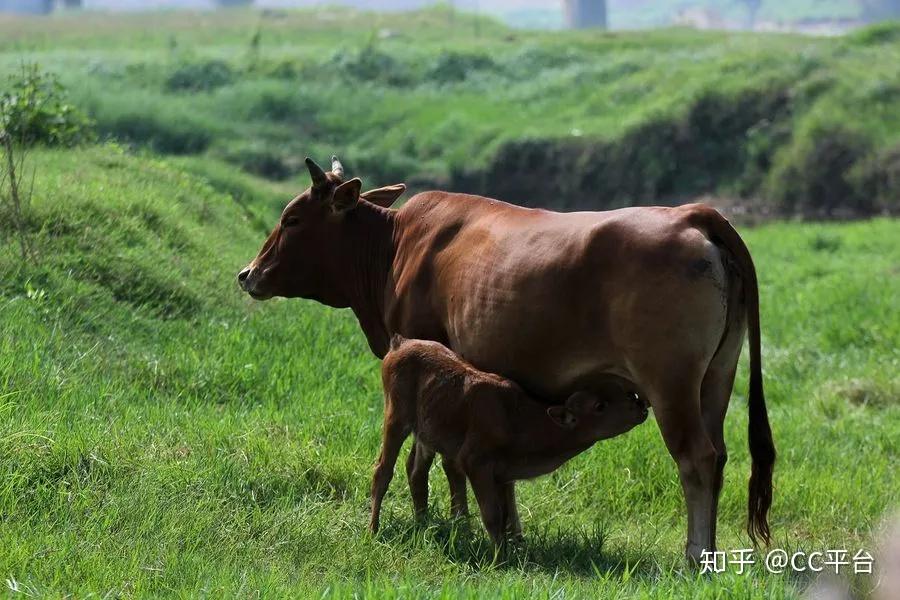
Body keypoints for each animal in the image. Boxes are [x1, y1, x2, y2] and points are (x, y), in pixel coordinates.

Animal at [370, 336, 652, 548]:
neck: (518, 419)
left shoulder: (503, 474)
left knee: (416, 471)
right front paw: (498, 560)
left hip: (426, 433)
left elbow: (505, 515)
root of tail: (401, 342)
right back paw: (373, 530)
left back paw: (422, 524)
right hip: (395, 418)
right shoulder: (475, 462)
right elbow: (493, 515)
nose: (640, 406)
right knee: (382, 471)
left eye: (624, 393)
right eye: (600, 406)